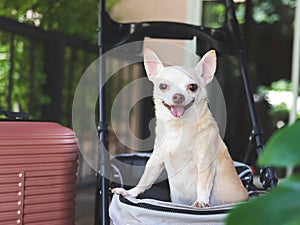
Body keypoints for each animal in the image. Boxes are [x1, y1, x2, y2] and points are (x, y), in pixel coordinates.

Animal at [112, 48, 248, 207]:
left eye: (192, 87)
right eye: (163, 86)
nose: (178, 96)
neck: (178, 128)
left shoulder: (205, 163)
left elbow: (202, 184)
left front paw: (201, 201)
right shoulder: (156, 159)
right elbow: (145, 179)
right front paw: (130, 193)